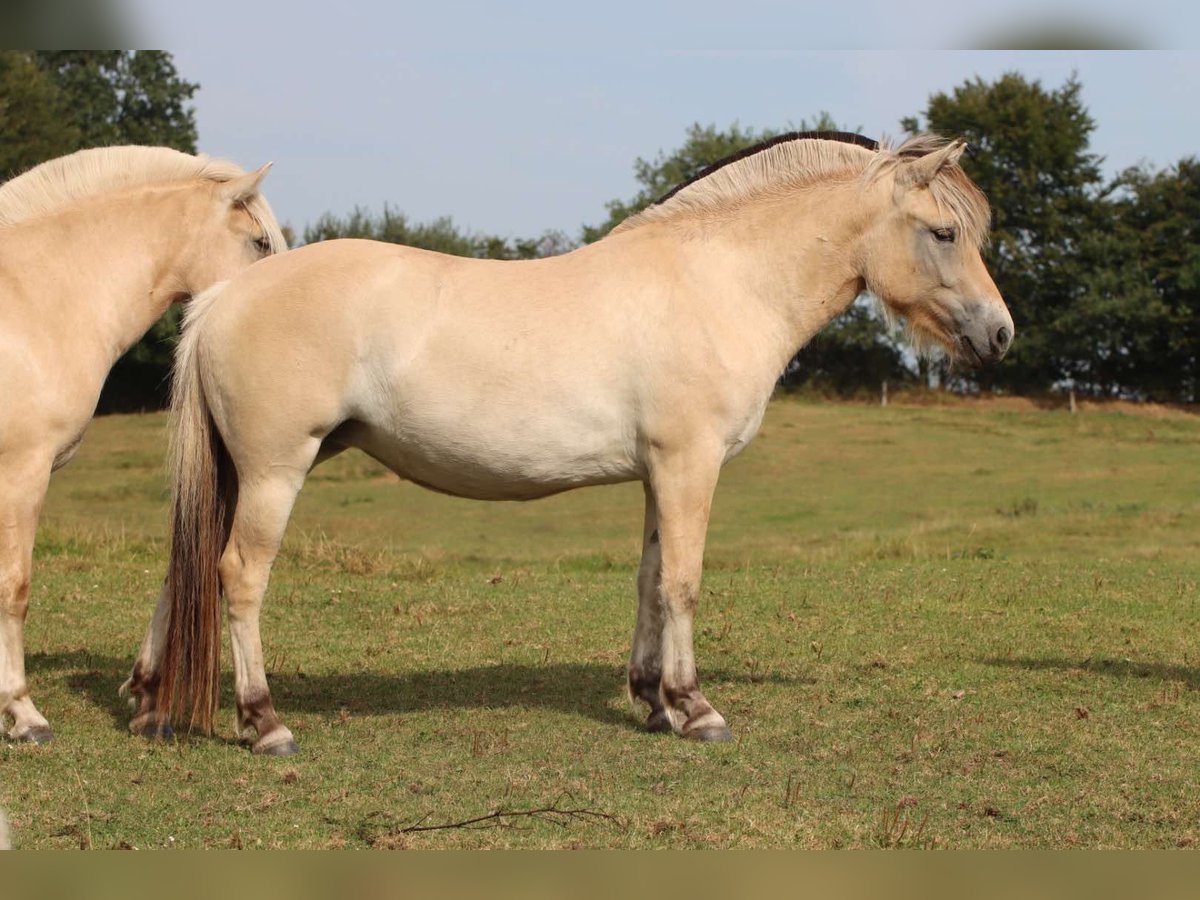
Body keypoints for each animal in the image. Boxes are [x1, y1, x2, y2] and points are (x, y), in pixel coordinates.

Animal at [129, 132, 1012, 753]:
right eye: (943, 232)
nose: (999, 334)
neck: (717, 282)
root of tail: (224, 295)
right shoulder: (689, 466)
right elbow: (684, 584)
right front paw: (697, 710)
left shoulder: (659, 474)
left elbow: (650, 581)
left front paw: (653, 700)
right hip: (276, 471)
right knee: (238, 576)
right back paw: (263, 722)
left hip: (240, 473)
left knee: (185, 568)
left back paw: (148, 704)